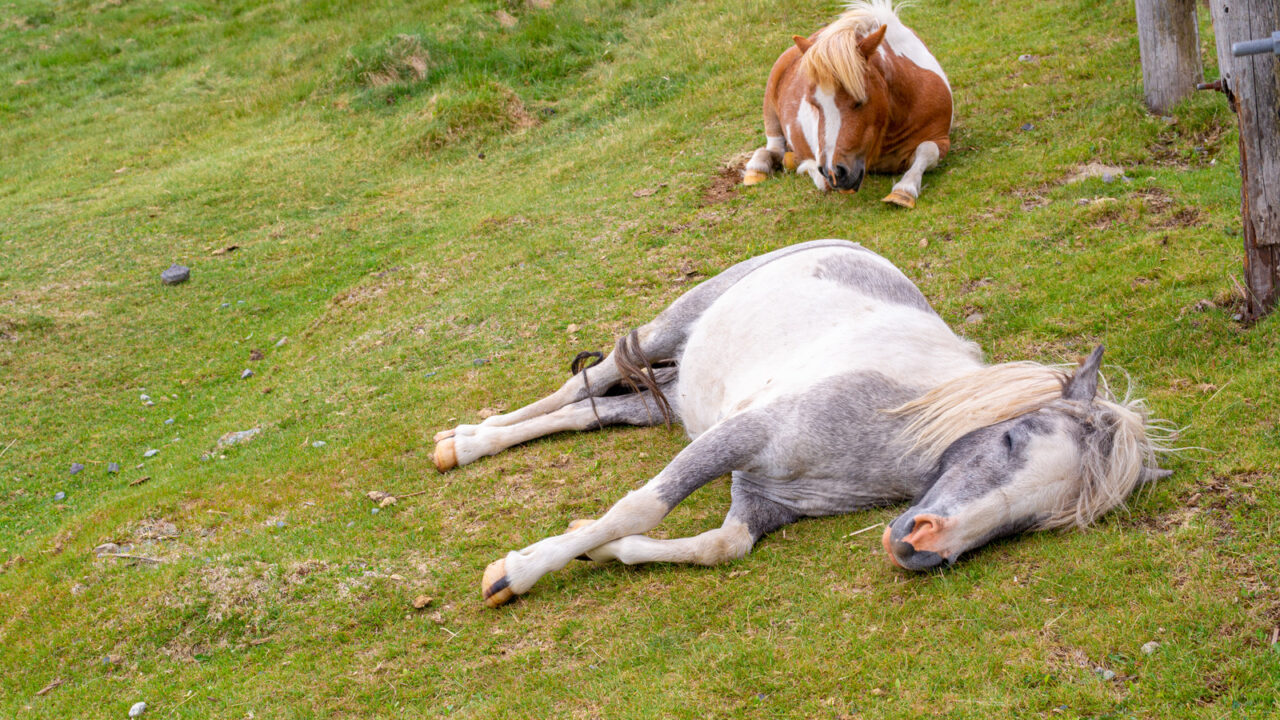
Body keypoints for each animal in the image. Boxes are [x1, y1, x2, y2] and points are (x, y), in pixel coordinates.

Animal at [431, 240, 1172, 608]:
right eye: (1011, 438)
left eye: (1033, 522)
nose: (919, 545)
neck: (887, 430)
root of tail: (844, 241)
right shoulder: (741, 438)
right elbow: (642, 507)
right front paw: (516, 573)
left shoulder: (760, 499)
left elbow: (717, 546)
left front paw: (596, 548)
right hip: (666, 329)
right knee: (583, 381)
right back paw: (467, 442)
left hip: (675, 397)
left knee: (597, 408)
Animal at [742, 0, 953, 208]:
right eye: (814, 105)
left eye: (859, 101)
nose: (834, 173)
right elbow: (820, 178)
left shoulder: (940, 137)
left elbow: (928, 150)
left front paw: (904, 190)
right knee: (773, 149)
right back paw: (758, 168)